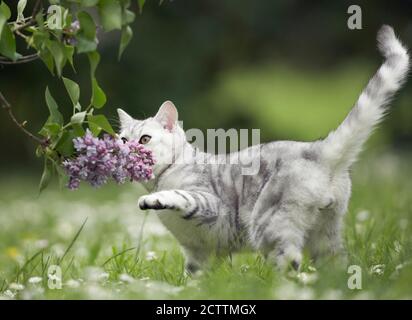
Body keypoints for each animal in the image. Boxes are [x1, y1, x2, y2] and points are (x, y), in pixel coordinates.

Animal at [117, 25, 410, 272]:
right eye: (122, 140)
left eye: (144, 139)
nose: (126, 150)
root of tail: (317, 149)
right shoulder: (198, 253)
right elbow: (195, 276)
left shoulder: (210, 202)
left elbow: (178, 195)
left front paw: (152, 199)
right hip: (324, 237)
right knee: (334, 268)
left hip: (268, 225)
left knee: (290, 262)